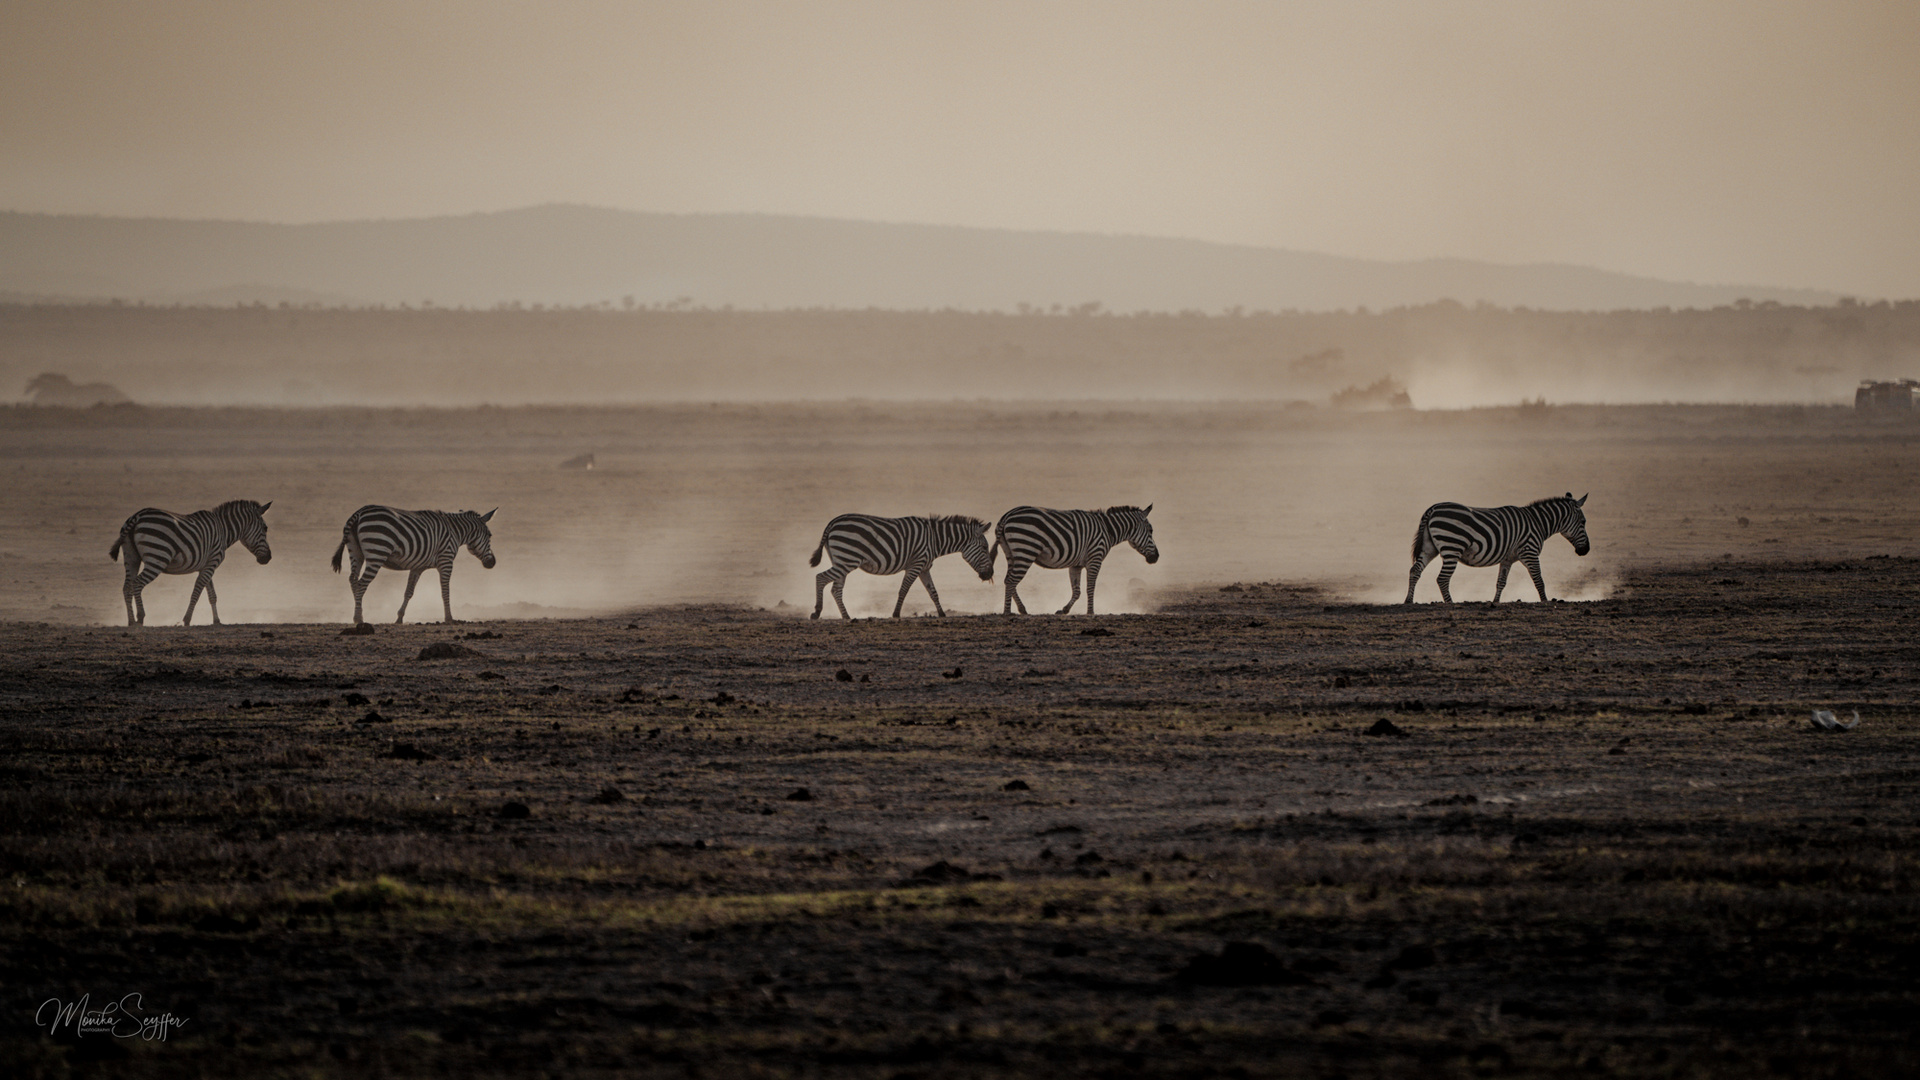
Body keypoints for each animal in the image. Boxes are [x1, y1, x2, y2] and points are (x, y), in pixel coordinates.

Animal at [109, 499, 274, 622]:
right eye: (265, 528)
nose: (268, 558)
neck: (223, 530)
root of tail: (137, 516)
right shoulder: (212, 563)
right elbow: (197, 590)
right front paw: (187, 619)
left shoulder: (206, 565)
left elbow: (212, 595)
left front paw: (217, 621)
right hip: (158, 557)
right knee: (137, 583)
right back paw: (141, 618)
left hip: (131, 557)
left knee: (127, 586)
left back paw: (131, 621)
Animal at [332, 503, 499, 622]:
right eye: (490, 535)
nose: (493, 563)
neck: (455, 532)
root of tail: (359, 513)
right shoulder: (446, 561)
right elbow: (445, 591)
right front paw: (449, 618)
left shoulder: (417, 566)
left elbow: (409, 591)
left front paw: (399, 617)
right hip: (377, 551)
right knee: (361, 584)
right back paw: (359, 619)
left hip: (355, 552)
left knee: (353, 580)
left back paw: (356, 614)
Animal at [810, 511, 998, 618]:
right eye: (984, 547)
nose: (989, 575)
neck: (934, 539)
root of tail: (832, 523)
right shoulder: (916, 565)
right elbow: (904, 590)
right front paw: (895, 613)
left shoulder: (924, 568)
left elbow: (933, 592)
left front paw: (942, 613)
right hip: (847, 559)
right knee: (820, 577)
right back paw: (817, 612)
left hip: (841, 560)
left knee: (836, 589)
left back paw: (846, 616)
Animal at [990, 503, 1152, 614]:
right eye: (1151, 531)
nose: (1155, 557)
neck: (1108, 530)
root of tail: (1006, 516)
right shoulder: (1095, 558)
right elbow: (1090, 587)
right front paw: (1090, 612)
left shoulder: (1076, 565)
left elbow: (1077, 590)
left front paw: (1064, 610)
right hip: (1026, 549)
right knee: (1012, 580)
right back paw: (1007, 611)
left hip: (1011, 553)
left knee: (1008, 580)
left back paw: (1022, 609)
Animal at [1405, 491, 1597, 599]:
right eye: (1584, 522)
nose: (1585, 550)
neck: (1538, 523)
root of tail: (1433, 509)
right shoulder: (1530, 552)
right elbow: (1539, 580)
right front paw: (1545, 601)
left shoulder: (1507, 559)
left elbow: (1501, 583)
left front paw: (1495, 602)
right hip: (1452, 547)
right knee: (1442, 579)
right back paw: (1450, 603)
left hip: (1429, 548)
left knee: (1415, 570)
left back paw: (1409, 600)